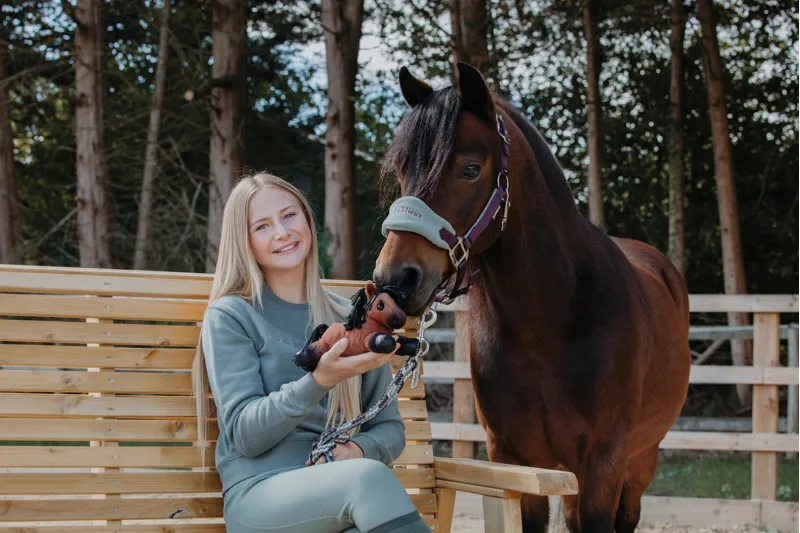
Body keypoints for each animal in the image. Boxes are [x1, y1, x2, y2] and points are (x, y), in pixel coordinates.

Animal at [372, 62, 691, 533]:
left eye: (470, 169)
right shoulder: (516, 460)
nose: (395, 279)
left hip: (641, 459)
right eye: (401, 169)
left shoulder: (604, 462)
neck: (547, 326)